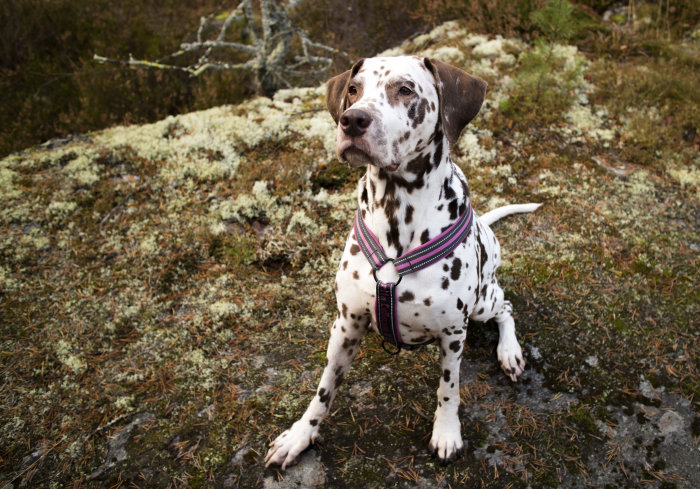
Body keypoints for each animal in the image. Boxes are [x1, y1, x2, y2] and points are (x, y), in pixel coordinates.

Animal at [266, 55, 540, 468]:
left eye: (406, 89)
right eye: (353, 89)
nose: (352, 120)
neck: (398, 212)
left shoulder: (453, 334)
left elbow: (449, 389)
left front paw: (446, 432)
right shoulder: (346, 325)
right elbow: (324, 389)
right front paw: (300, 435)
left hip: (482, 302)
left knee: (506, 307)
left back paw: (509, 352)